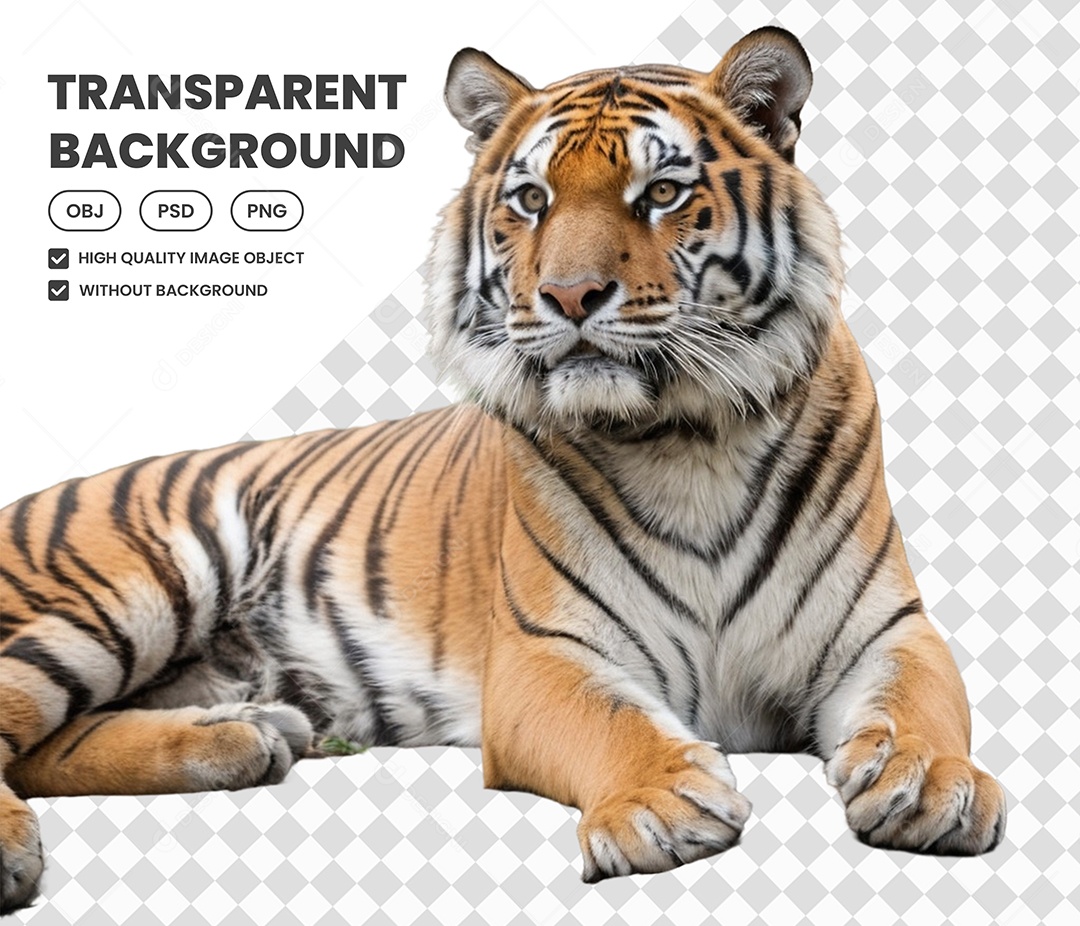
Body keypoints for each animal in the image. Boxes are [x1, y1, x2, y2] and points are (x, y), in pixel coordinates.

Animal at [0, 26, 1006, 913]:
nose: (569, 295)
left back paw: (245, 736)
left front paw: (932, 785)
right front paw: (659, 807)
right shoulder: (543, 655)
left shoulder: (885, 629)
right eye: (530, 200)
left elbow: (922, 704)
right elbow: (615, 720)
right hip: (122, 586)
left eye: (661, 191)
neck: (687, 440)